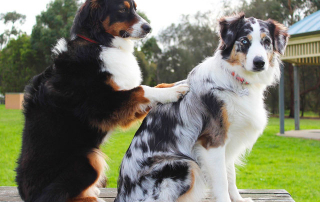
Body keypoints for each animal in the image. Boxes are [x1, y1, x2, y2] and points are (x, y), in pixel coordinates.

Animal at [15, 0, 188, 201]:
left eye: (135, 8)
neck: (99, 43)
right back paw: (93, 197)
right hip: (88, 159)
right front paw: (175, 90)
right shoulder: (102, 105)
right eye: (122, 9)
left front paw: (173, 84)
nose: (148, 28)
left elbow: (152, 87)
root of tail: (26, 194)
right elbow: (141, 89)